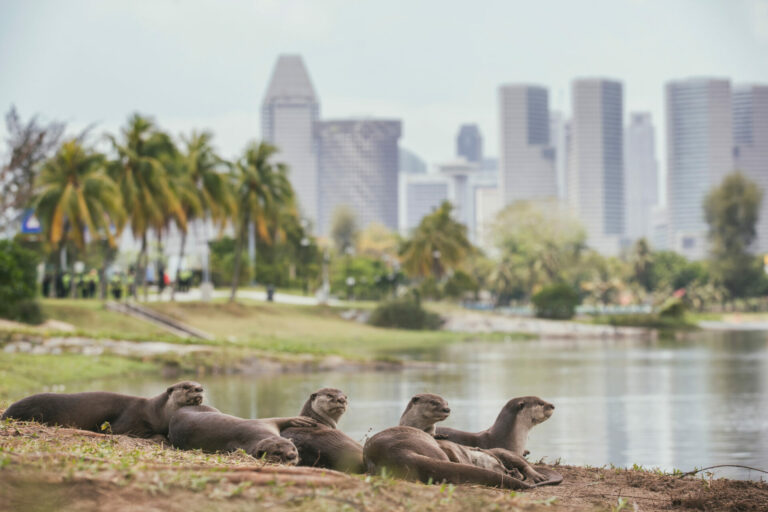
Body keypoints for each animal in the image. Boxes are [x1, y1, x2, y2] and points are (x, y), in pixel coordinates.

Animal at [168, 405, 316, 465]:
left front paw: (301, 420)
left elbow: (278, 419)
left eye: (293, 448)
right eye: (277, 453)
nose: (291, 456)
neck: (258, 434)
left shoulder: (264, 423)